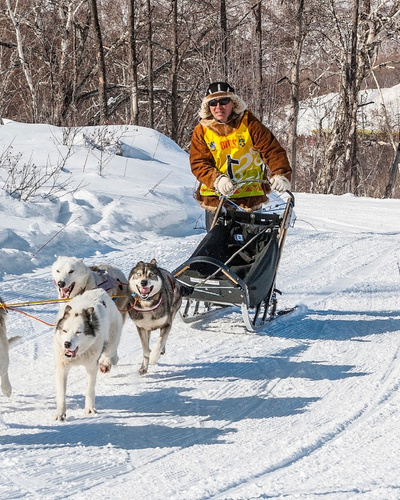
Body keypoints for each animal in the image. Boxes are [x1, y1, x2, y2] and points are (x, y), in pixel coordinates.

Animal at [54, 288, 123, 420]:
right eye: (65, 330)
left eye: (78, 332)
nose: (66, 344)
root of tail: (100, 290)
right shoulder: (62, 368)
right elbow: (61, 393)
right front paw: (60, 413)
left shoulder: (91, 367)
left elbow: (90, 389)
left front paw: (90, 408)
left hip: (111, 342)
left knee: (110, 352)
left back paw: (108, 362)